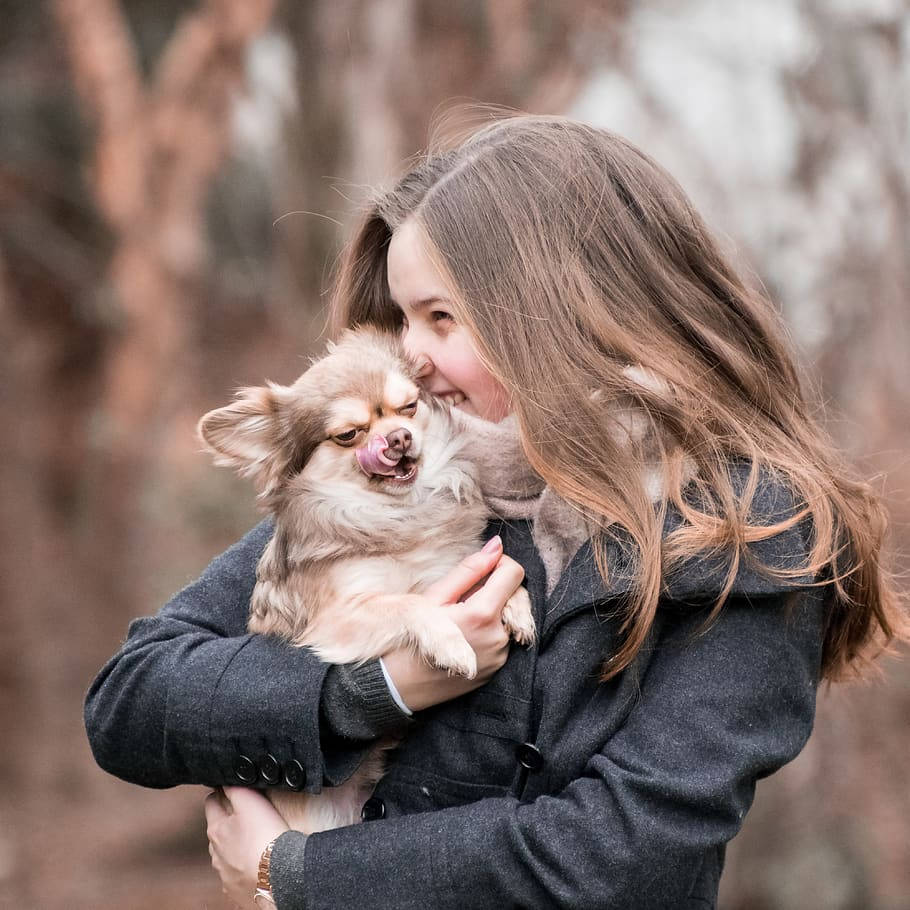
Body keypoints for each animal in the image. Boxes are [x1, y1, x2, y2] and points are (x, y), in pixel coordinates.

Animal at [196, 328, 532, 832]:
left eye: (410, 407)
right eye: (348, 435)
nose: (399, 437)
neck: (397, 513)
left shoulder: (447, 565)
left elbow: (495, 570)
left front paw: (517, 605)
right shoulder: (336, 620)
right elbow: (410, 603)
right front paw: (451, 642)